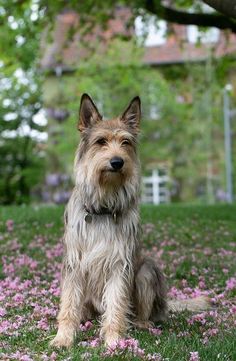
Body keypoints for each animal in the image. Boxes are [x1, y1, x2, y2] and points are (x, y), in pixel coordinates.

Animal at [50, 94, 209, 348]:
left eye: (125, 142)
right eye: (101, 141)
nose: (118, 162)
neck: (103, 208)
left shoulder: (119, 264)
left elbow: (116, 305)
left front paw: (114, 341)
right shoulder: (74, 264)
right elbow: (68, 305)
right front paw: (63, 338)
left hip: (146, 271)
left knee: (142, 311)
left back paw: (142, 324)